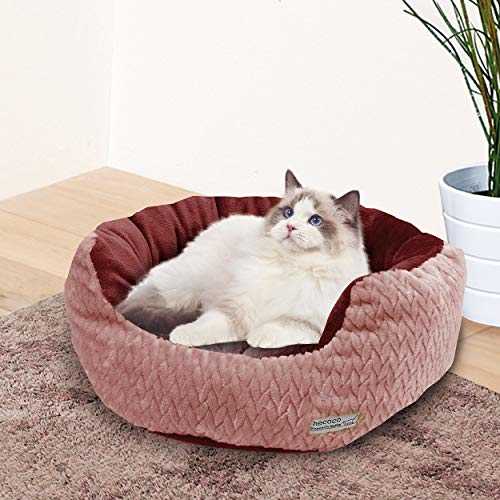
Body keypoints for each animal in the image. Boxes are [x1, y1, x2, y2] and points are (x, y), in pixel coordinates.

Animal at [117, 170, 370, 349]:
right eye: (288, 213)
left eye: (315, 221)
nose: (290, 226)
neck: (291, 266)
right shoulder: (236, 306)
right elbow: (211, 323)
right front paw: (182, 335)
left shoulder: (314, 325)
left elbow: (283, 323)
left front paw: (256, 337)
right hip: (183, 285)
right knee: (131, 302)